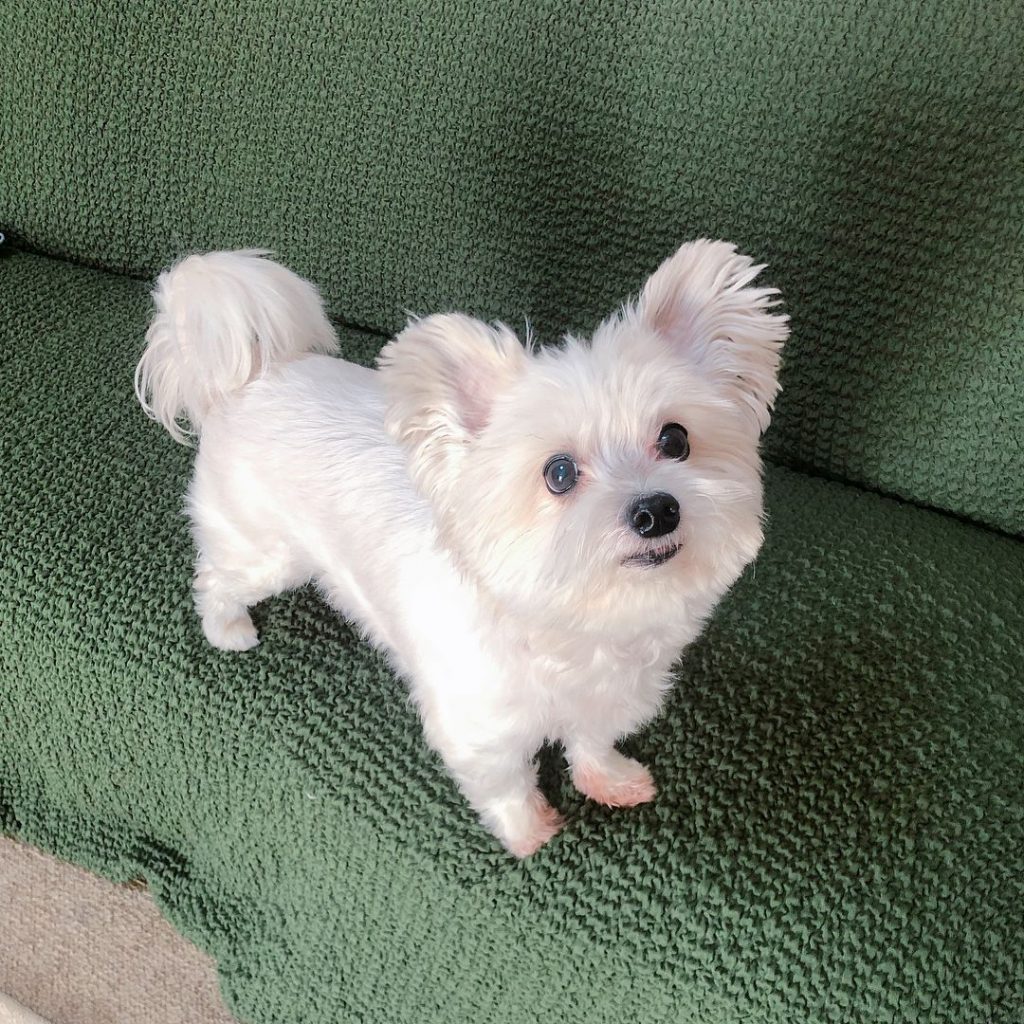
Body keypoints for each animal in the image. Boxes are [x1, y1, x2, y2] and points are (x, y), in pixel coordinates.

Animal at [136, 239, 786, 856]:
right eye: (559, 473)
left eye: (675, 440)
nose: (656, 510)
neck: (581, 627)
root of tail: (251, 377)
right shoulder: (480, 733)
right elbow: (507, 786)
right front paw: (528, 831)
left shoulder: (606, 701)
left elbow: (592, 744)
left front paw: (609, 780)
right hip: (267, 553)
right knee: (214, 579)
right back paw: (228, 630)